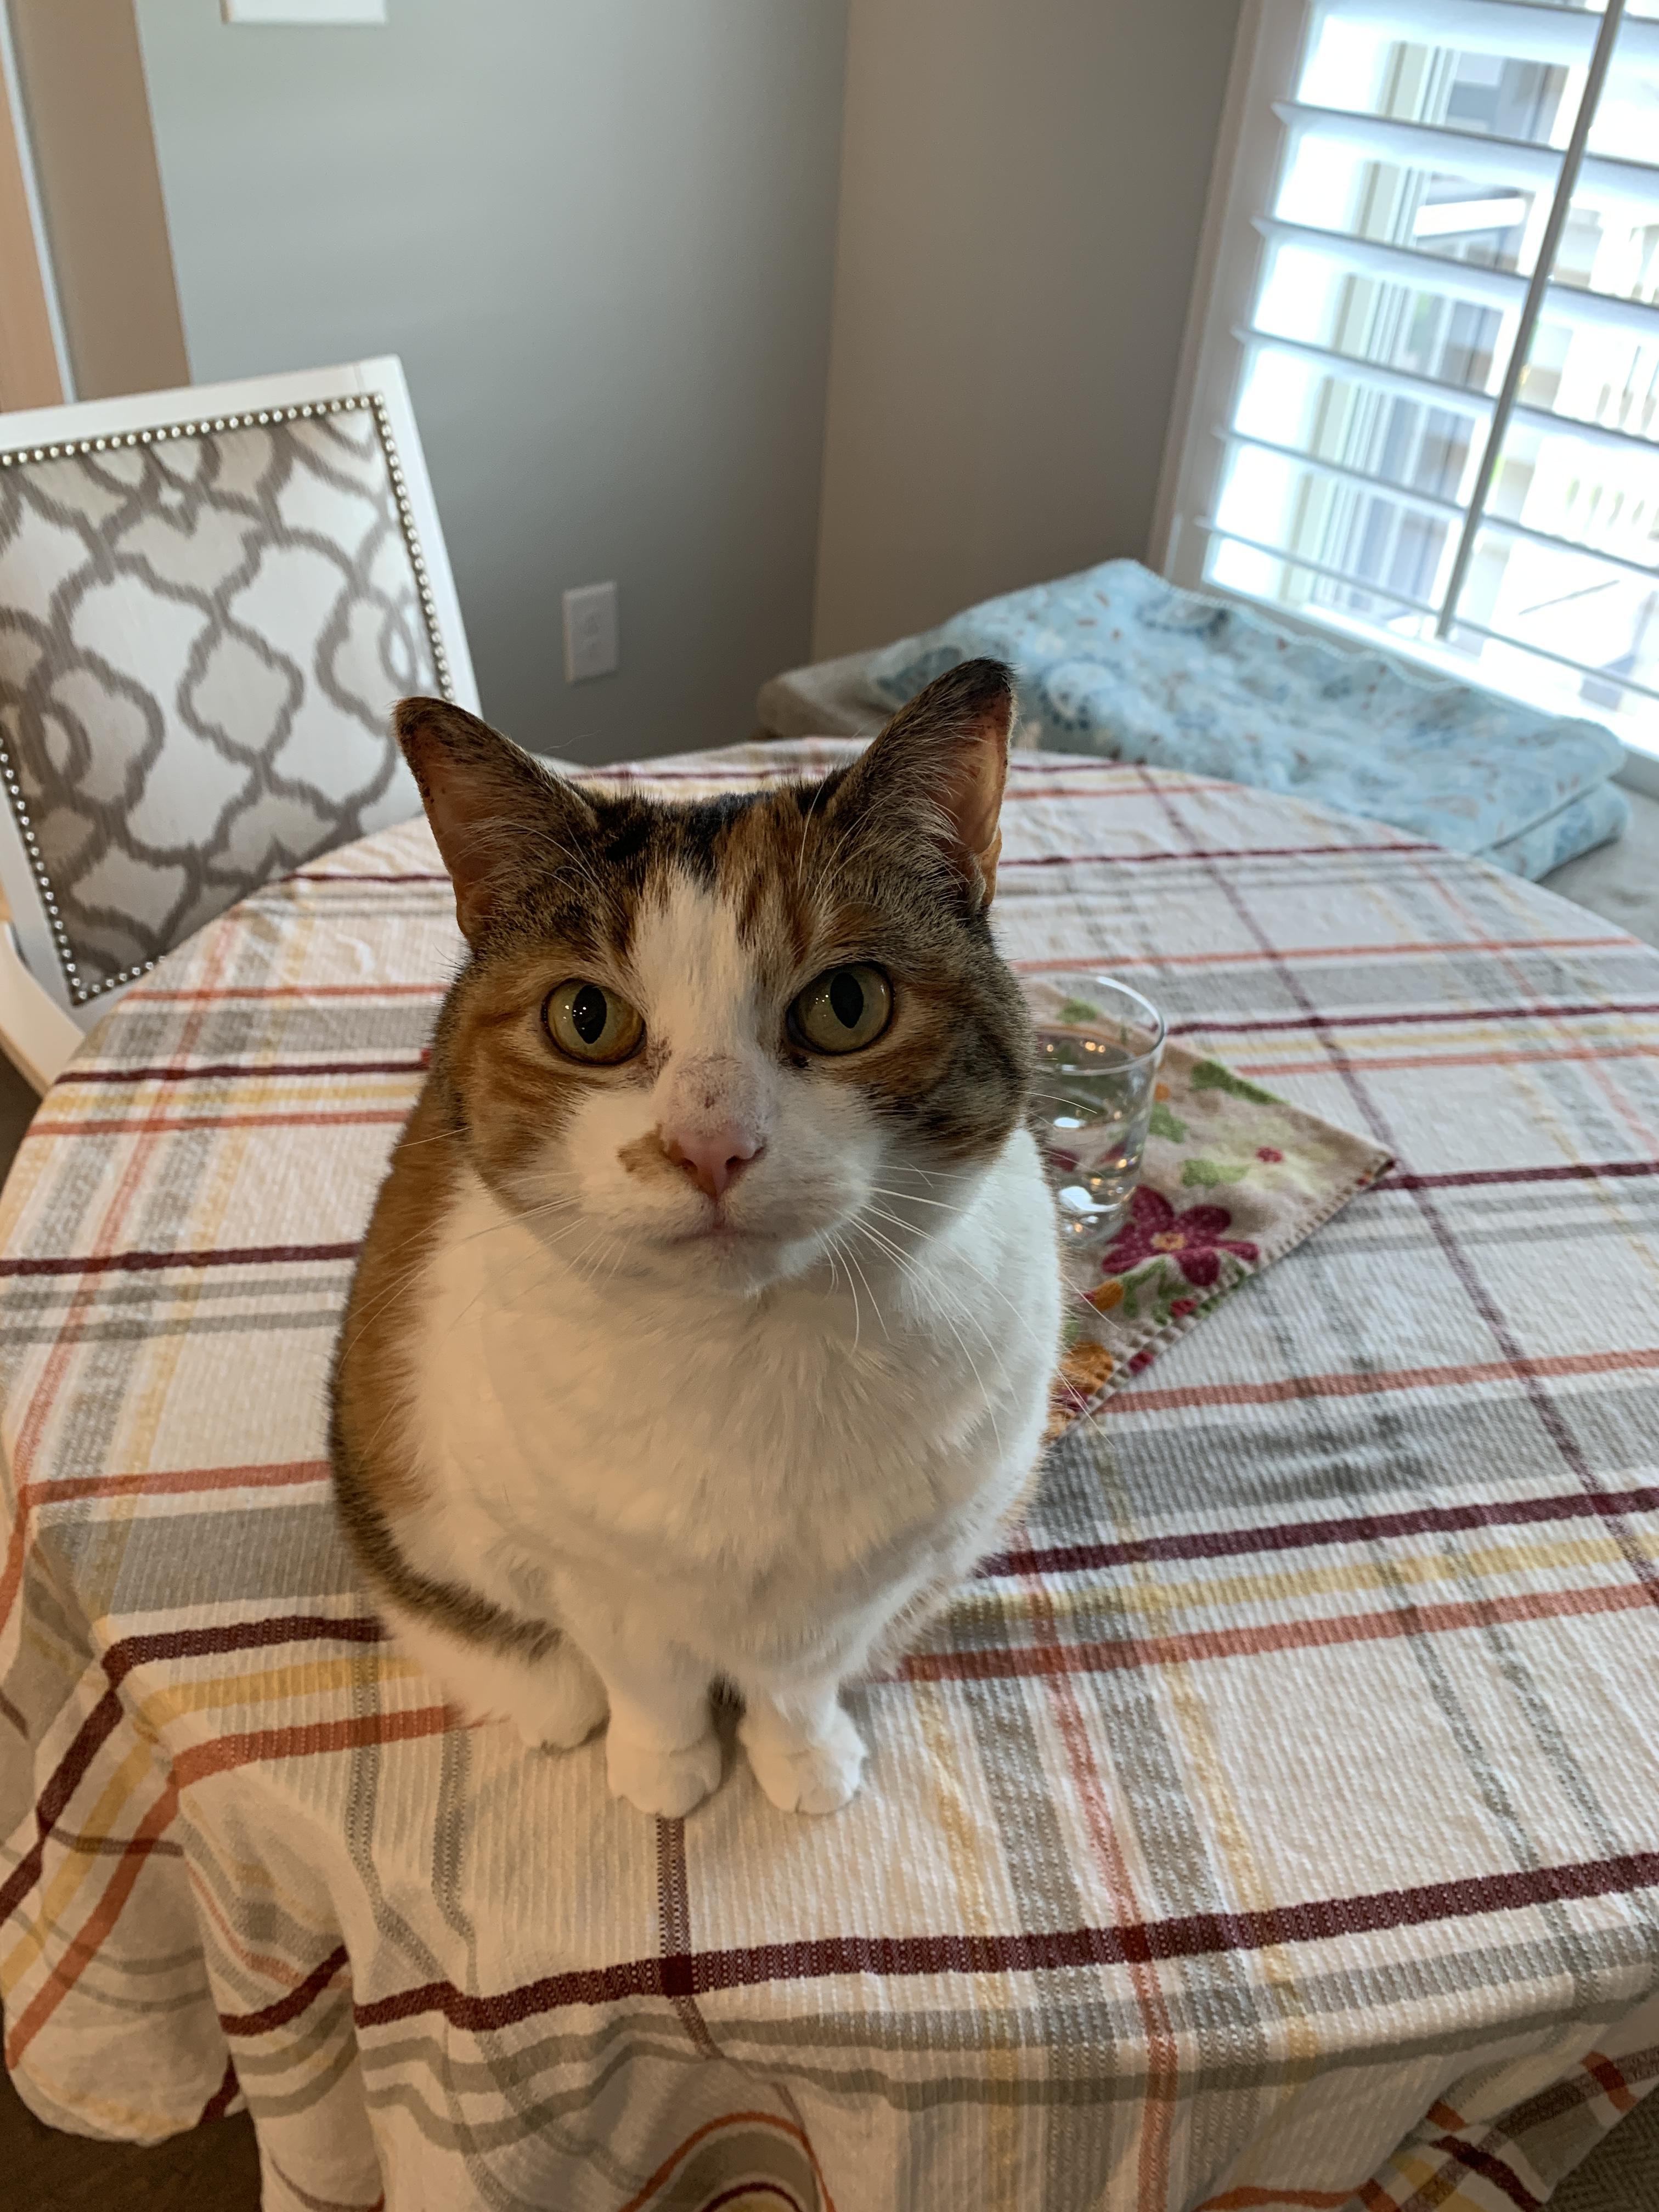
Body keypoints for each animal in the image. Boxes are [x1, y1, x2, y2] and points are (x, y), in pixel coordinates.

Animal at [329, 658, 1062, 1818]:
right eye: (586, 1017)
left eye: (847, 1002)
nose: (709, 1145)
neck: (743, 1348)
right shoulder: (582, 1571)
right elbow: (647, 1674)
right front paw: (663, 1768)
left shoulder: (872, 1577)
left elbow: (799, 1678)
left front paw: (801, 1760)